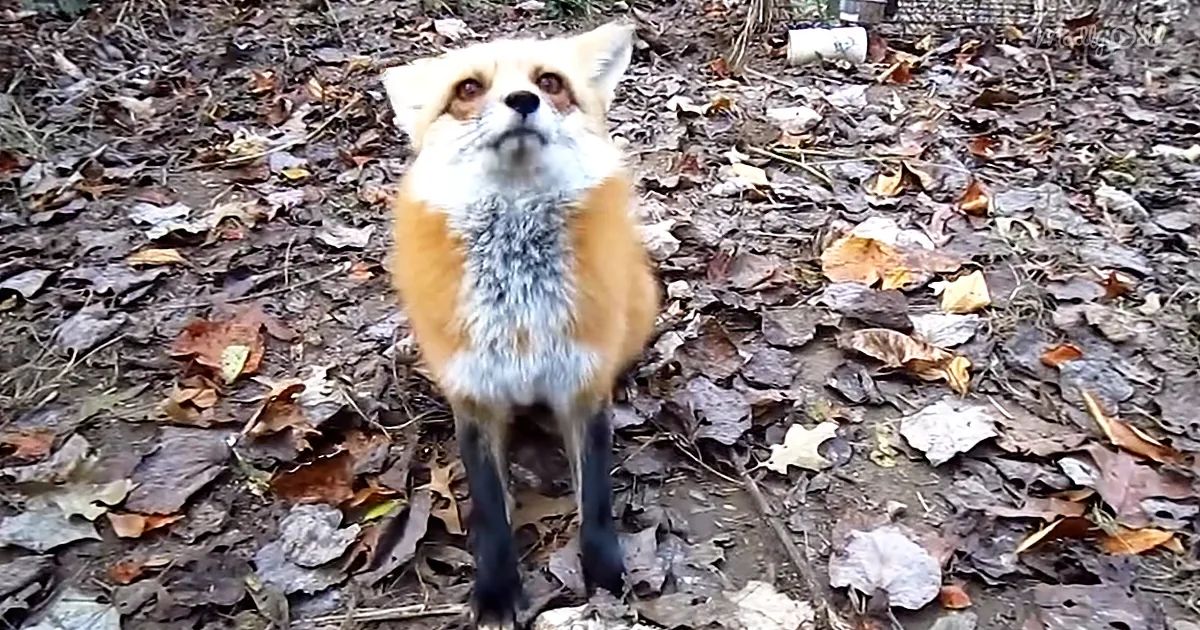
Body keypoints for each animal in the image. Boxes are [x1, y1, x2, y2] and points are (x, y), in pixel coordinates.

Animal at [380, 22, 660, 629]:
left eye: (549, 82)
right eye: (467, 89)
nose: (523, 101)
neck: (521, 305)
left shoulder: (582, 385)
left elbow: (596, 499)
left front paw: (605, 578)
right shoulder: (475, 395)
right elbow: (489, 510)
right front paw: (496, 590)